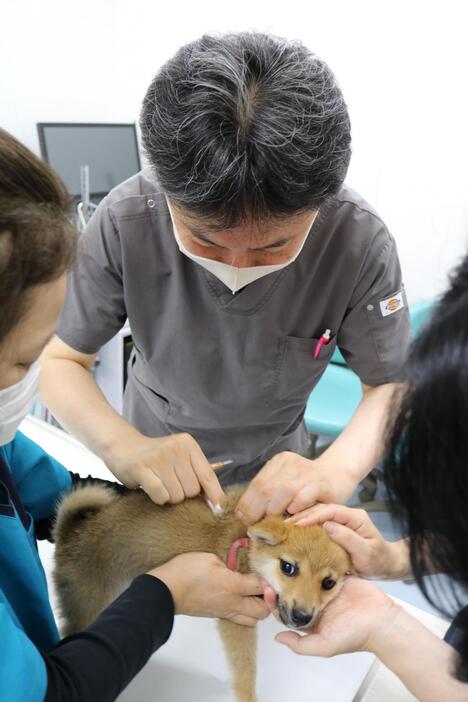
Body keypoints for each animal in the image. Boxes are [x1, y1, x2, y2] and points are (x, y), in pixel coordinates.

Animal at [53, 484, 352, 702]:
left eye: (329, 583)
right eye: (288, 567)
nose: (302, 616)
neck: (246, 547)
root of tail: (70, 537)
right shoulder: (237, 620)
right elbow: (246, 670)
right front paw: (248, 698)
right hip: (90, 603)